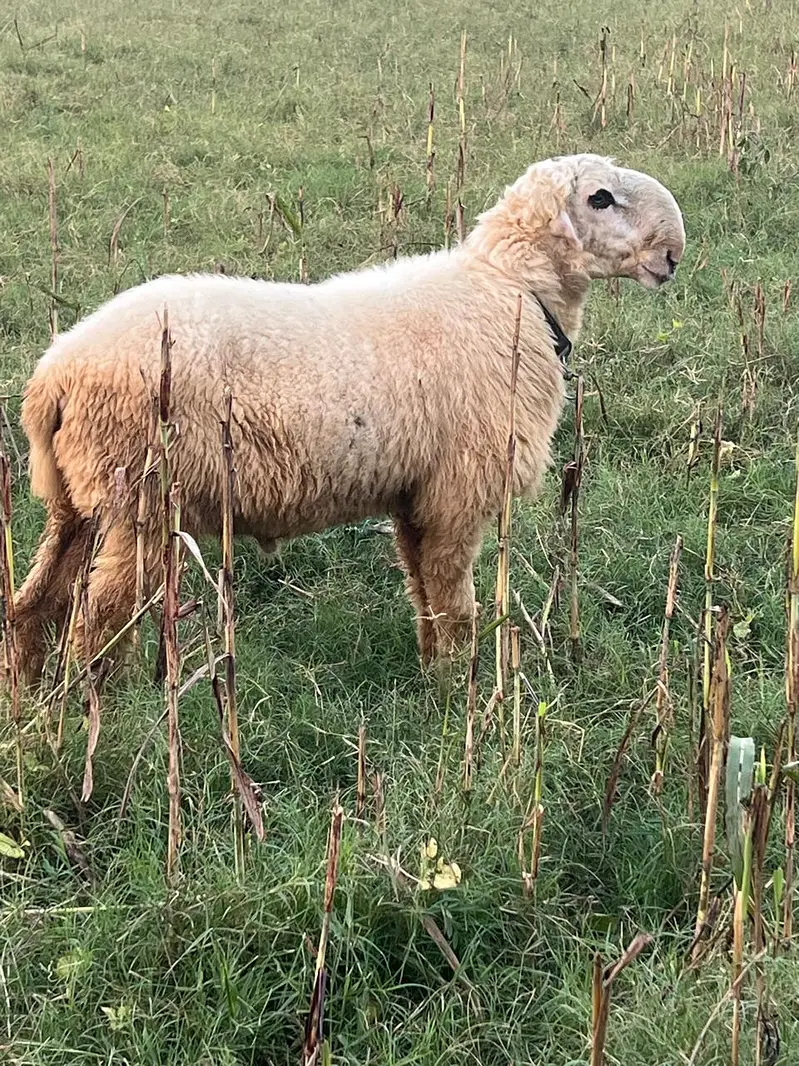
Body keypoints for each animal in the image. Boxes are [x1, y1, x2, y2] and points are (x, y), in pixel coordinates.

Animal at [13, 153, 685, 684]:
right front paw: (458, 693)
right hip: (144, 496)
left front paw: (432, 677)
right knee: (97, 621)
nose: (673, 254)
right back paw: (102, 709)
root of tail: (55, 373)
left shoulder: (416, 495)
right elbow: (455, 604)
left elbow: (424, 594)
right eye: (600, 197)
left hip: (81, 502)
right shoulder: (457, 492)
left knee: (34, 605)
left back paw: (30, 697)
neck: (512, 297)